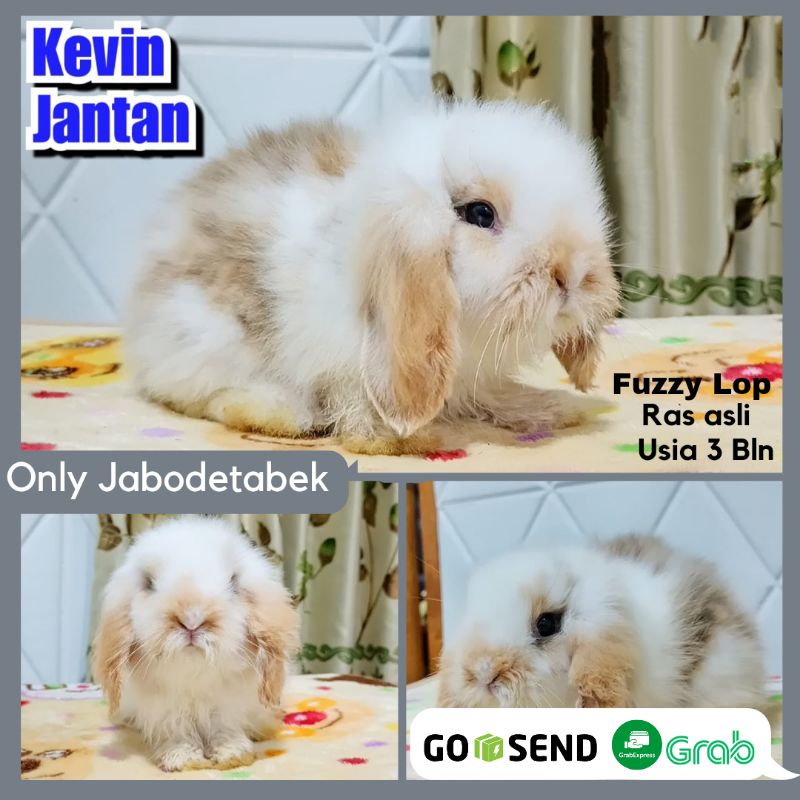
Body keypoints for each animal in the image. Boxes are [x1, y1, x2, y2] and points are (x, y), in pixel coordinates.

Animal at [91, 517, 299, 772]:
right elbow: (179, 732)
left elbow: (225, 729)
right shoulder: (169, 710)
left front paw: (233, 755)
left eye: (233, 582)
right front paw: (182, 760)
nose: (192, 618)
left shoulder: (226, 705)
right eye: (149, 583)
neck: (195, 676)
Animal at [125, 99, 619, 454]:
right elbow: (356, 397)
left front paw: (552, 408)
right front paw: (392, 439)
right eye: (480, 213)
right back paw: (282, 414)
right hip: (207, 337)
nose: (573, 274)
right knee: (200, 394)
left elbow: (492, 395)